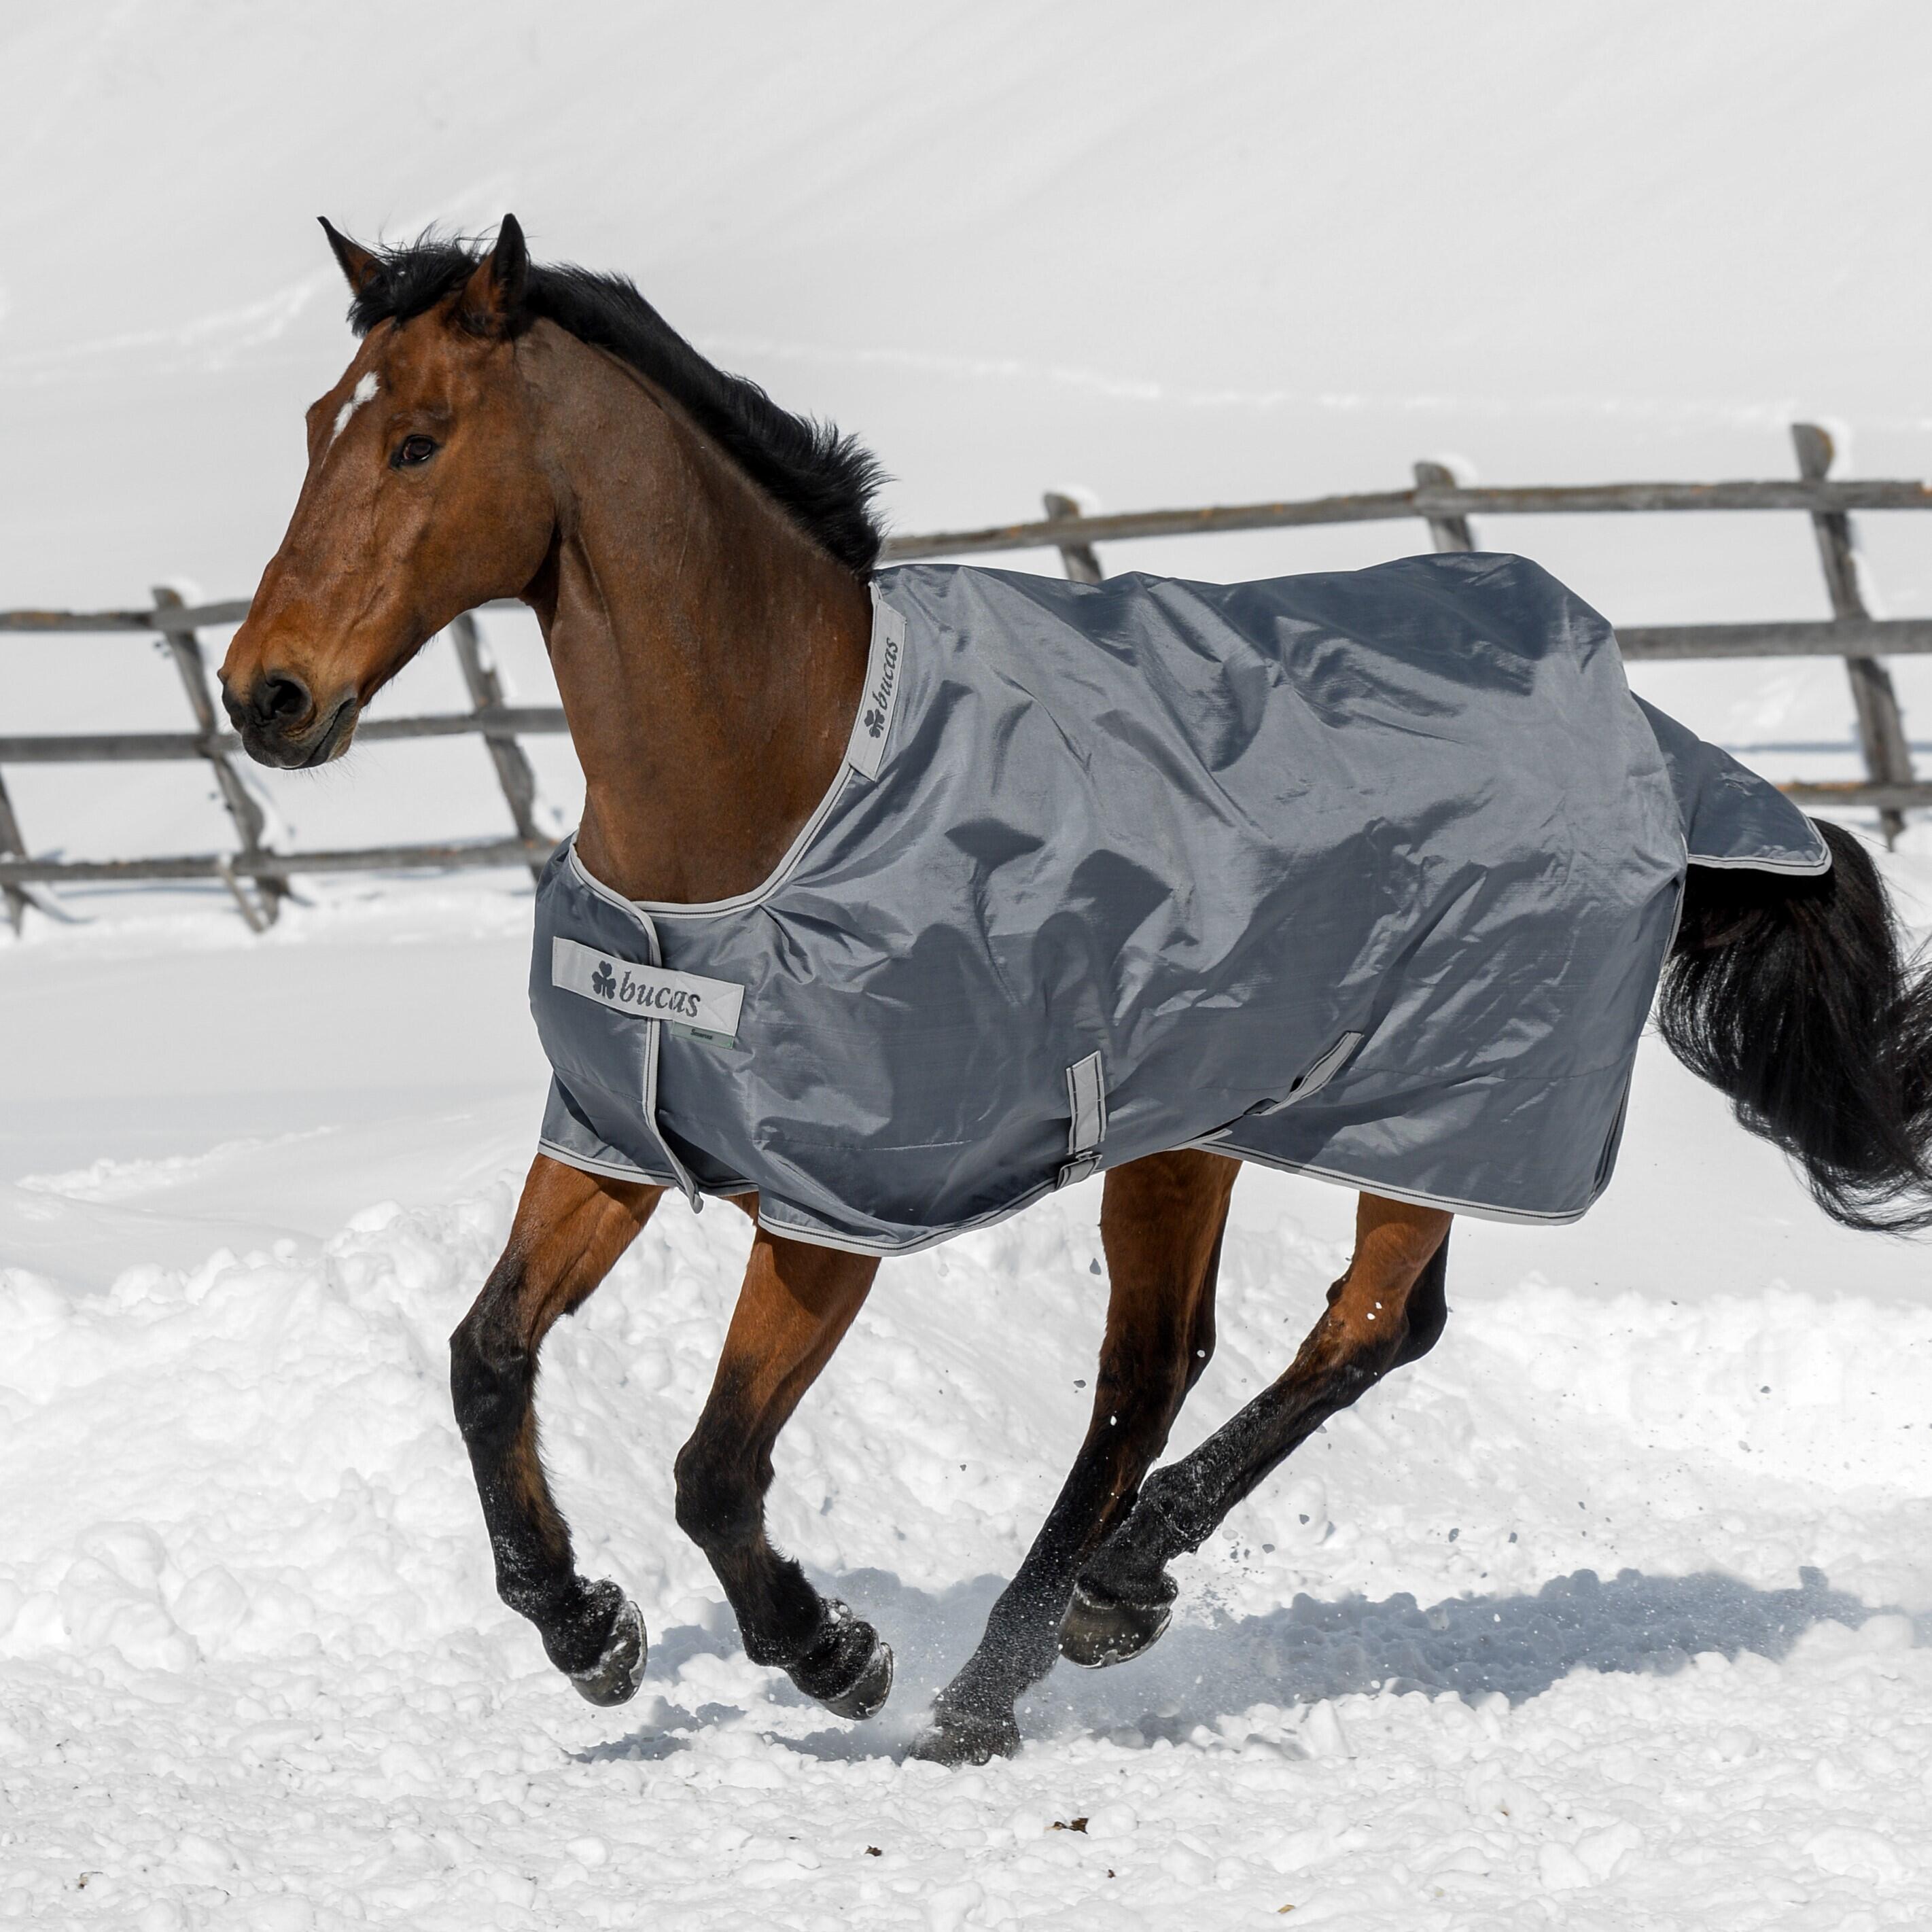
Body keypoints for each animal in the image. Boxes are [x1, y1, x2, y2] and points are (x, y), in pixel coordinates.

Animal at [220, 215, 1932, 1767]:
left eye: (419, 441)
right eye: (314, 429)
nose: (264, 694)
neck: (772, 791)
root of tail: (1659, 739)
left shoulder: (834, 1210)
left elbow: (714, 1466)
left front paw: (831, 1651)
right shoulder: (614, 1136)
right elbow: (484, 1360)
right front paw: (586, 1630)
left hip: (1435, 1106)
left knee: (1363, 1324)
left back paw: (1089, 1605)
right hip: (1194, 1126)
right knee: (1154, 1368)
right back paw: (1019, 1664)